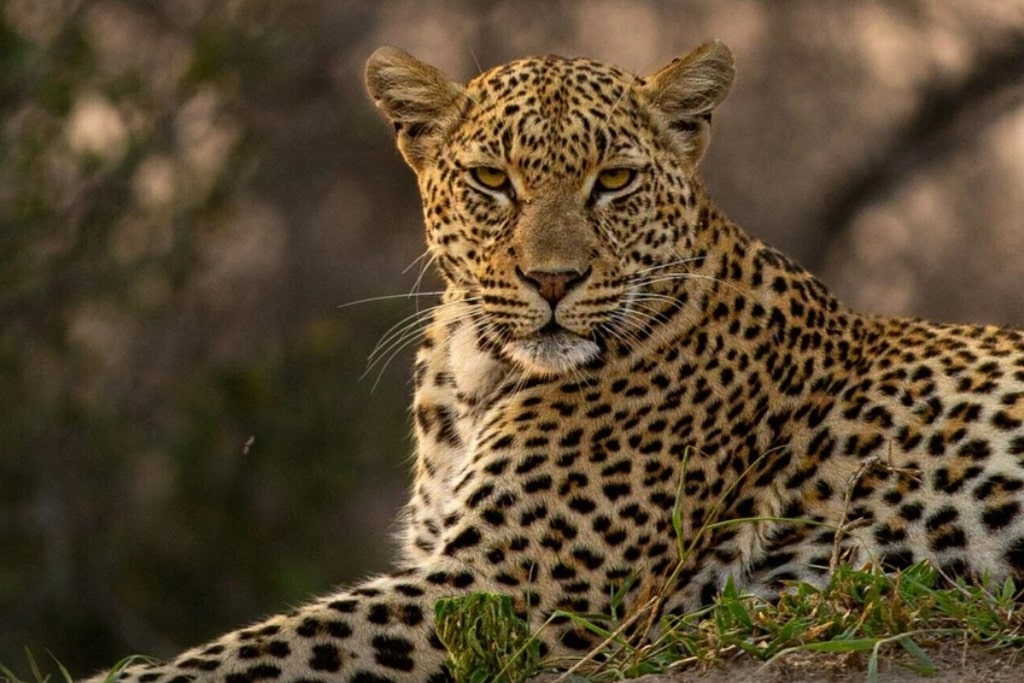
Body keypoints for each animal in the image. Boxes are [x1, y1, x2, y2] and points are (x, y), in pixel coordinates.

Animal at [83, 41, 1024, 683]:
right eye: (492, 180)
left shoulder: (502, 590)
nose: (553, 280)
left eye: (614, 181)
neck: (474, 371)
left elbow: (255, 649)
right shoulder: (445, 563)